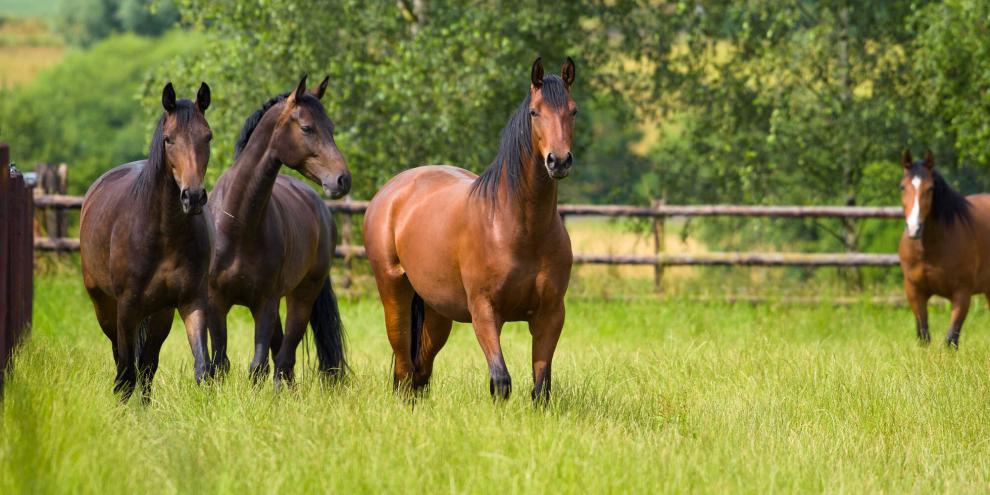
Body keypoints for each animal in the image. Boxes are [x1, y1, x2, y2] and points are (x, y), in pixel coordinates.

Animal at [80, 82, 213, 401]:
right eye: (168, 139)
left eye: (208, 136)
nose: (193, 197)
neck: (164, 233)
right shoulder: (127, 308)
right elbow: (126, 373)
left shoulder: (191, 301)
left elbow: (201, 368)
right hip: (104, 306)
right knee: (122, 360)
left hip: (160, 314)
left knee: (147, 365)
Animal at [207, 75, 350, 388]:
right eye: (307, 127)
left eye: (332, 128)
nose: (342, 179)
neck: (238, 223)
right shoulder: (216, 302)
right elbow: (220, 363)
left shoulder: (265, 303)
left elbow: (258, 366)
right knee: (281, 355)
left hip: (301, 297)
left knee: (285, 358)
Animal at [363, 57, 578, 402]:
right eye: (535, 112)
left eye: (573, 111)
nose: (558, 161)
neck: (518, 227)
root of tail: (392, 191)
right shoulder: (485, 312)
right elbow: (501, 381)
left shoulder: (550, 315)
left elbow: (540, 388)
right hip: (393, 293)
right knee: (404, 367)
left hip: (437, 311)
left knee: (420, 369)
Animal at [898, 150, 990, 348]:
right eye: (902, 187)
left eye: (930, 188)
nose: (914, 228)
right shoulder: (915, 292)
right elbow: (923, 336)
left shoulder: (962, 294)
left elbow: (951, 340)